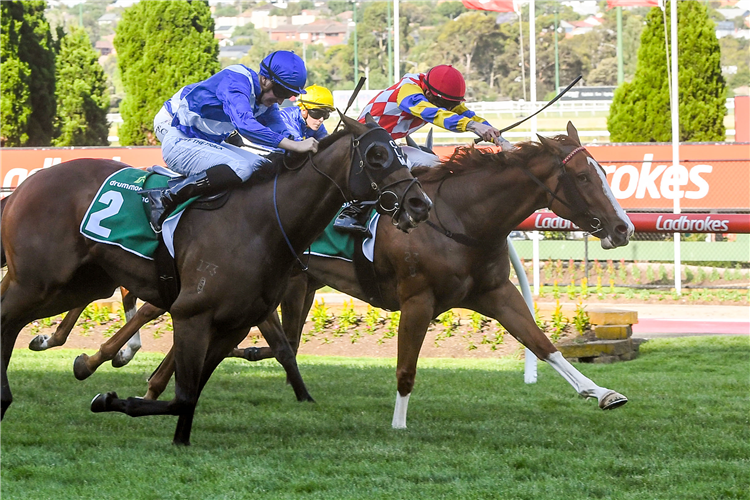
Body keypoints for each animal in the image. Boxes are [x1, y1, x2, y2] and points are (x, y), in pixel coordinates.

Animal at [0, 114, 432, 446]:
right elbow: (182, 394)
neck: (260, 222)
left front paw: (177, 438)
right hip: (40, 283)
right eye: (377, 156)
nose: (420, 203)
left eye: (402, 155)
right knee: (8, 319)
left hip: (78, 283)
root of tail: (27, 184)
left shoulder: (234, 324)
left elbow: (190, 397)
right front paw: (108, 399)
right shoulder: (193, 314)